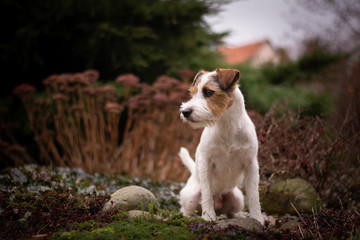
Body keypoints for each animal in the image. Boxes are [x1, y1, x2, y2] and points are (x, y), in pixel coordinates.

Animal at [179, 68, 262, 223]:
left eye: (208, 92)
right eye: (192, 93)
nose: (185, 112)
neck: (226, 126)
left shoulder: (251, 164)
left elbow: (254, 194)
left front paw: (257, 218)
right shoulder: (206, 162)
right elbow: (206, 192)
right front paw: (208, 216)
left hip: (238, 198)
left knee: (231, 212)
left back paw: (238, 215)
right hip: (191, 197)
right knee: (188, 209)